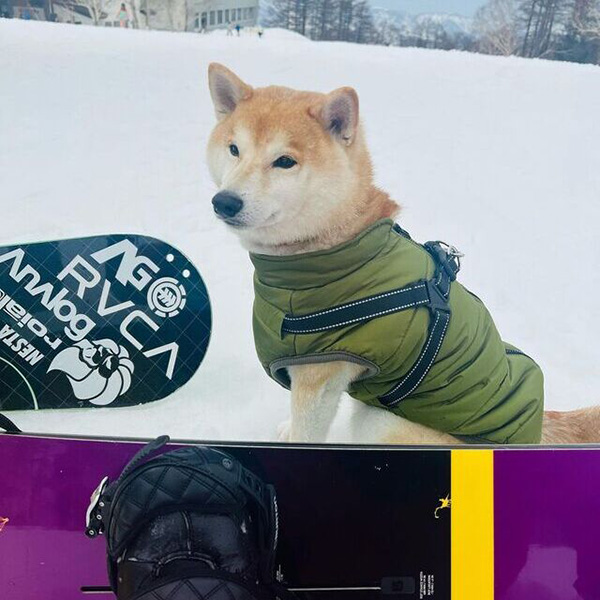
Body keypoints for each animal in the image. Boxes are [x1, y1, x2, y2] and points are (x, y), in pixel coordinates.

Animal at [207, 63, 600, 446]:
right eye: (234, 149)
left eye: (285, 161)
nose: (224, 202)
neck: (334, 247)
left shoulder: (319, 374)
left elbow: (308, 432)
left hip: (377, 420)